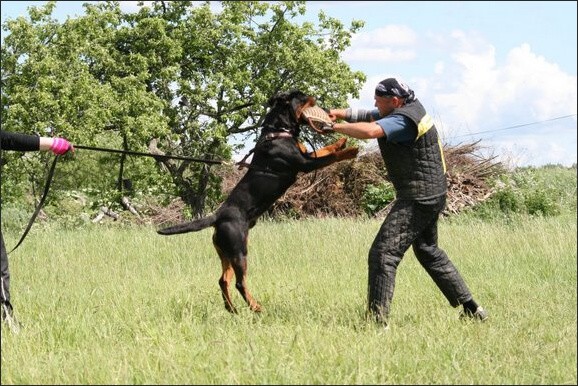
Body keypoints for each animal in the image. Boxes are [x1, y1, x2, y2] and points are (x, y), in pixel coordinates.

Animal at [156, 90, 356, 314]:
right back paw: (256, 307)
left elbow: (325, 150)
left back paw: (232, 309)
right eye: (302, 97)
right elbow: (331, 157)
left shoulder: (306, 155)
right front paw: (351, 150)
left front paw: (340, 142)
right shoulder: (305, 163)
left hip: (227, 252)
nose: (324, 106)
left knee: (223, 280)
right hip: (239, 250)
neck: (279, 131)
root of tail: (217, 216)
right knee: (239, 283)